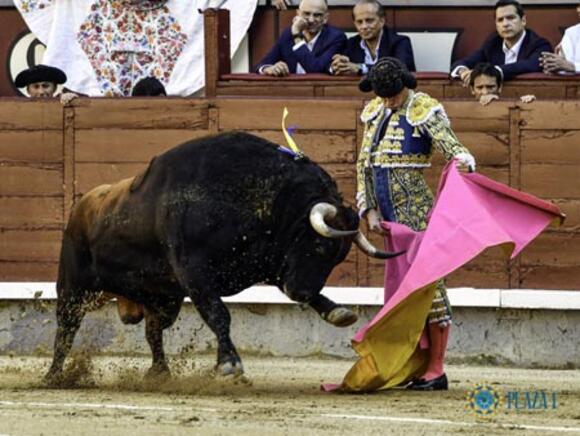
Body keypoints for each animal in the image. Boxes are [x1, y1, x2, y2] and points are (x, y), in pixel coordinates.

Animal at [45, 131, 402, 384]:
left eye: (337, 259)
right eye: (319, 247)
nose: (300, 292)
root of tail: (81, 204)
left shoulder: (270, 262)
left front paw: (337, 312)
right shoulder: (195, 273)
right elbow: (219, 315)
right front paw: (229, 364)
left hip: (163, 298)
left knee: (153, 330)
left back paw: (159, 372)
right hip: (74, 286)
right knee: (66, 327)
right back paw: (54, 376)